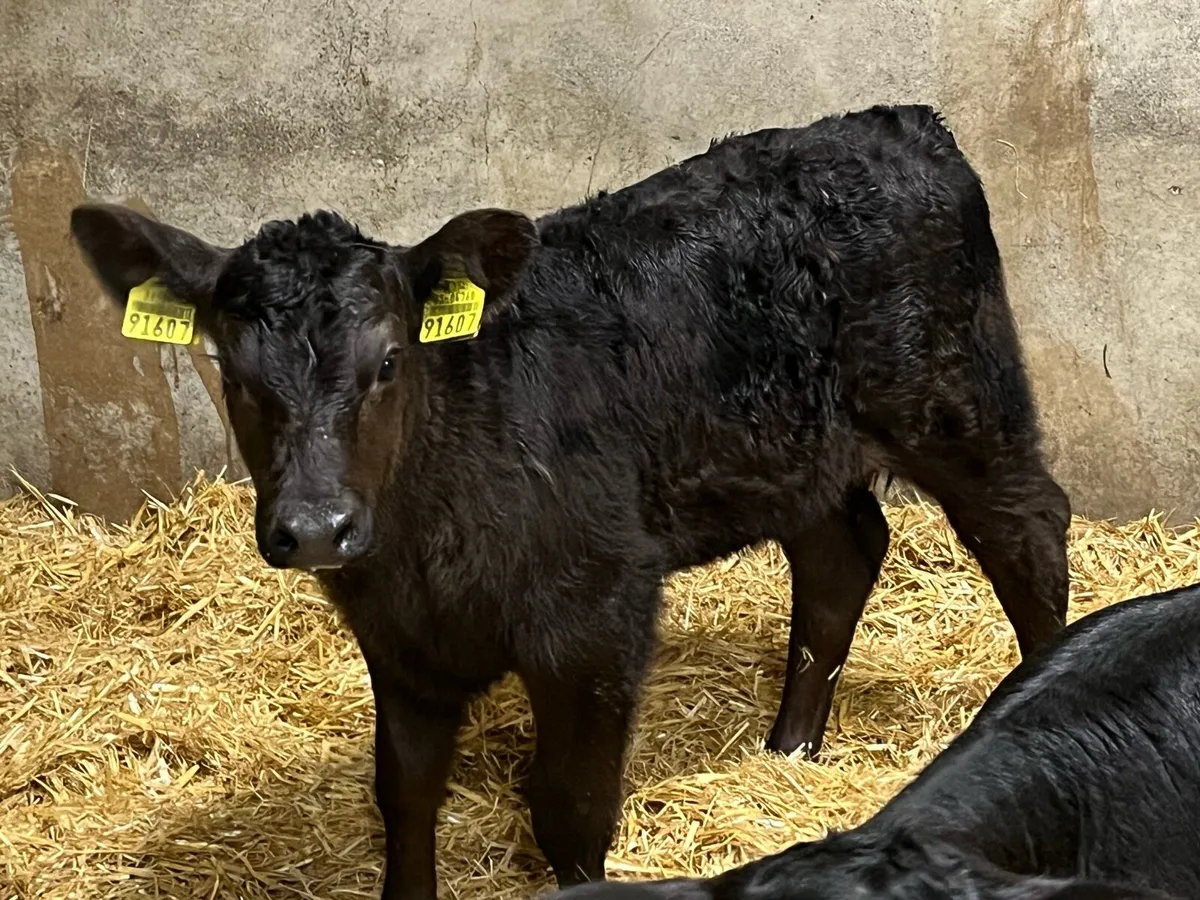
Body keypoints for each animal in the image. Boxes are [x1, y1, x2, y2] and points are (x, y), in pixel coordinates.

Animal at [68, 104, 1070, 900]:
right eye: (233, 373)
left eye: (389, 361)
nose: (316, 528)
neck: (428, 538)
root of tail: (896, 124)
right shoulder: (399, 640)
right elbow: (405, 793)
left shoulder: (596, 614)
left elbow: (569, 807)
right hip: (792, 450)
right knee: (842, 554)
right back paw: (788, 749)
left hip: (956, 399)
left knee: (1027, 527)